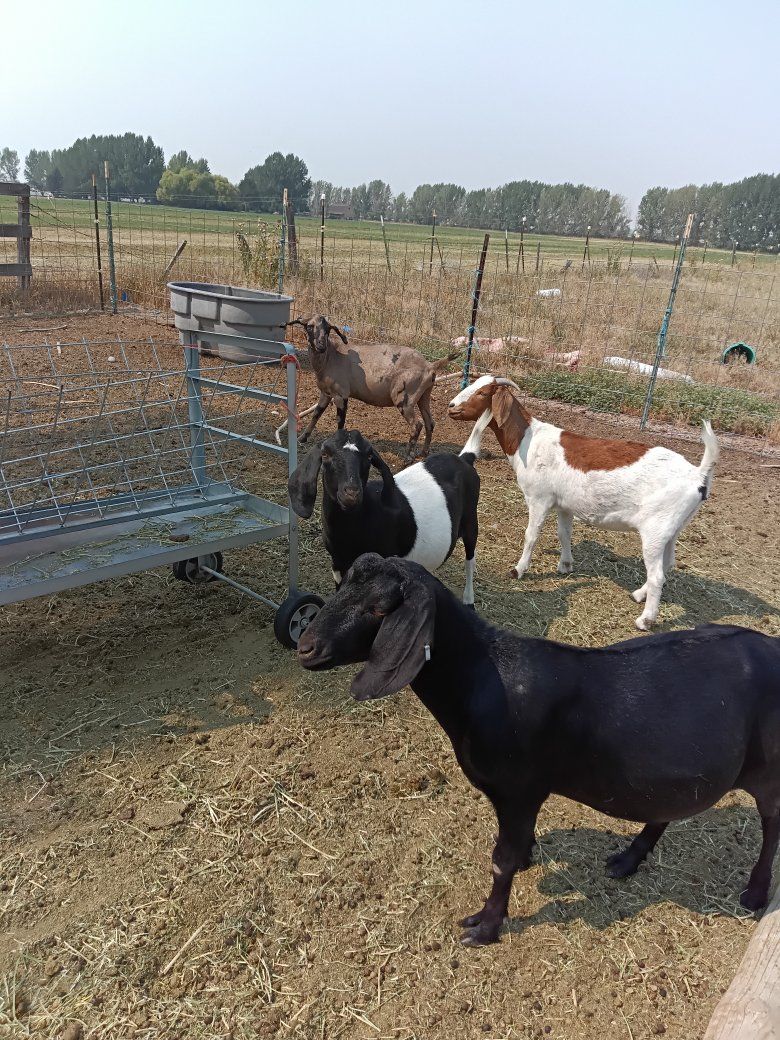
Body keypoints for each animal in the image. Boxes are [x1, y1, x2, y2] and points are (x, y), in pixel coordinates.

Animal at [286, 316, 458, 461]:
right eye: (309, 326)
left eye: (328, 329)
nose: (321, 345)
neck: (330, 357)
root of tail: (430, 365)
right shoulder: (325, 393)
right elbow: (316, 414)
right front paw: (302, 438)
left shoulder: (340, 394)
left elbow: (340, 422)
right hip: (424, 395)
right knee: (430, 423)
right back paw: (424, 452)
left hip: (405, 397)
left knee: (417, 425)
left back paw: (408, 456)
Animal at [289, 430, 480, 605]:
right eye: (325, 454)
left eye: (369, 456)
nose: (351, 493)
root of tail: (464, 458)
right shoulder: (338, 564)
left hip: (471, 520)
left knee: (470, 559)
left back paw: (469, 600)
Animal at [298, 553, 780, 946]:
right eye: (342, 585)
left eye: (380, 609)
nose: (306, 647)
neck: (482, 679)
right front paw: (528, 860)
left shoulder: (519, 789)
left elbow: (501, 861)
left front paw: (485, 926)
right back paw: (627, 859)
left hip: (768, 769)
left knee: (771, 823)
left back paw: (755, 894)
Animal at [448, 375, 719, 630]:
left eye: (483, 393)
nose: (451, 407)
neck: (528, 441)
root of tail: (698, 475)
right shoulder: (564, 504)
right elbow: (564, 533)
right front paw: (565, 565)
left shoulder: (539, 498)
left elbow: (531, 535)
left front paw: (518, 570)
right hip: (673, 527)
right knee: (668, 564)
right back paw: (638, 595)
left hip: (655, 528)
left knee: (657, 576)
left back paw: (645, 620)